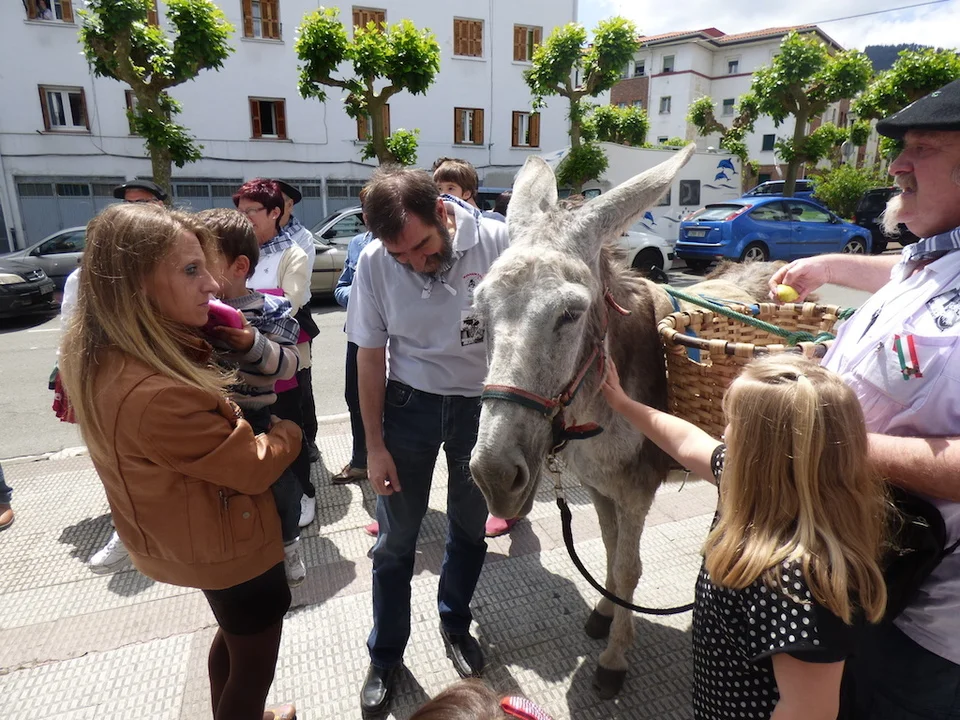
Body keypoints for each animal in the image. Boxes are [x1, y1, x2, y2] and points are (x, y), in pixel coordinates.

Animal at [469, 145, 770, 698]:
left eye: (570, 313)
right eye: (480, 312)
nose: (494, 476)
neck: (597, 412)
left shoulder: (635, 490)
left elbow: (629, 567)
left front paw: (613, 660)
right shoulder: (600, 487)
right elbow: (608, 553)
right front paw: (604, 615)